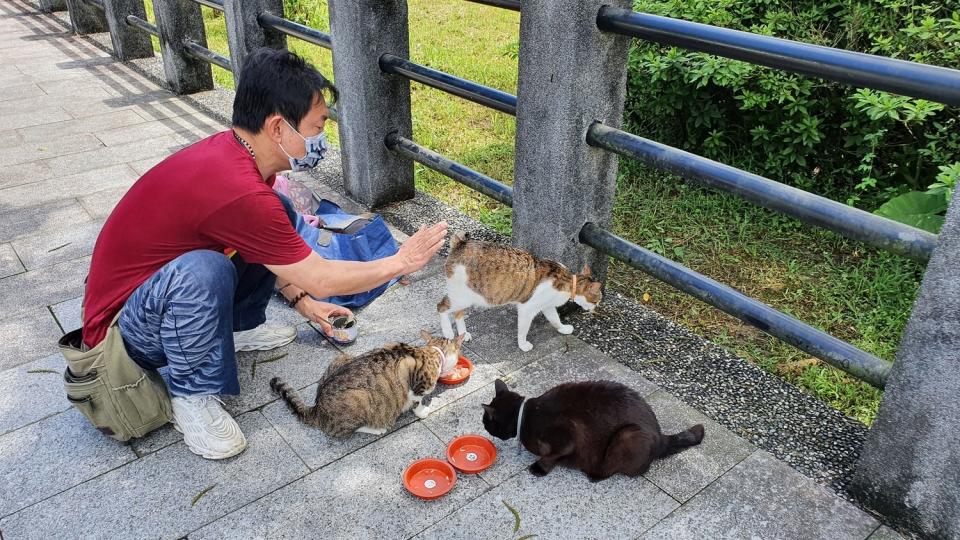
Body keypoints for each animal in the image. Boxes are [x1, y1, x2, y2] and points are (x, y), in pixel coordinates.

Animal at [270, 330, 464, 438]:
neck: (433, 351)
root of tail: (317, 407)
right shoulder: (415, 381)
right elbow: (420, 397)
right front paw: (422, 410)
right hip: (360, 398)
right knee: (341, 431)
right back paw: (377, 429)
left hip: (342, 357)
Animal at [438, 233, 604, 352]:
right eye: (597, 300)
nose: (596, 308)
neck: (569, 281)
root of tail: (461, 243)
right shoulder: (527, 308)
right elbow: (523, 330)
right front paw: (523, 345)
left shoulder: (547, 306)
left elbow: (555, 319)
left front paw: (563, 329)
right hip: (462, 296)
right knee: (441, 307)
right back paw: (448, 333)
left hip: (467, 298)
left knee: (458, 313)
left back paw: (463, 335)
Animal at [484, 380, 700, 480]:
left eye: (486, 422)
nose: (484, 426)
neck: (525, 416)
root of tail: (661, 435)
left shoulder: (567, 437)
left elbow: (550, 456)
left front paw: (539, 468)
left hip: (627, 436)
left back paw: (594, 475)